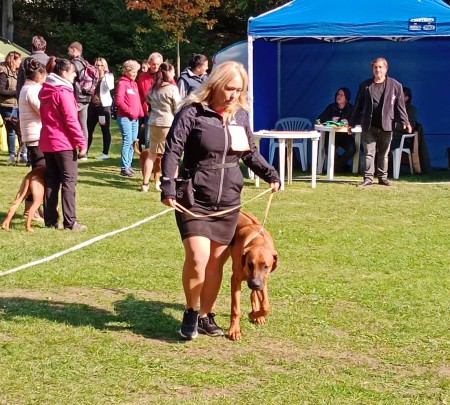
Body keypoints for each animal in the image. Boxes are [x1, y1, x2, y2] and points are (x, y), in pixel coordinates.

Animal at [229, 210, 278, 340]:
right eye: (249, 264)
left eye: (266, 266)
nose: (255, 284)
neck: (259, 241)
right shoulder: (235, 280)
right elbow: (235, 309)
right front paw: (234, 330)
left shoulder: (263, 281)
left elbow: (266, 306)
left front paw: (254, 314)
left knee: (253, 294)